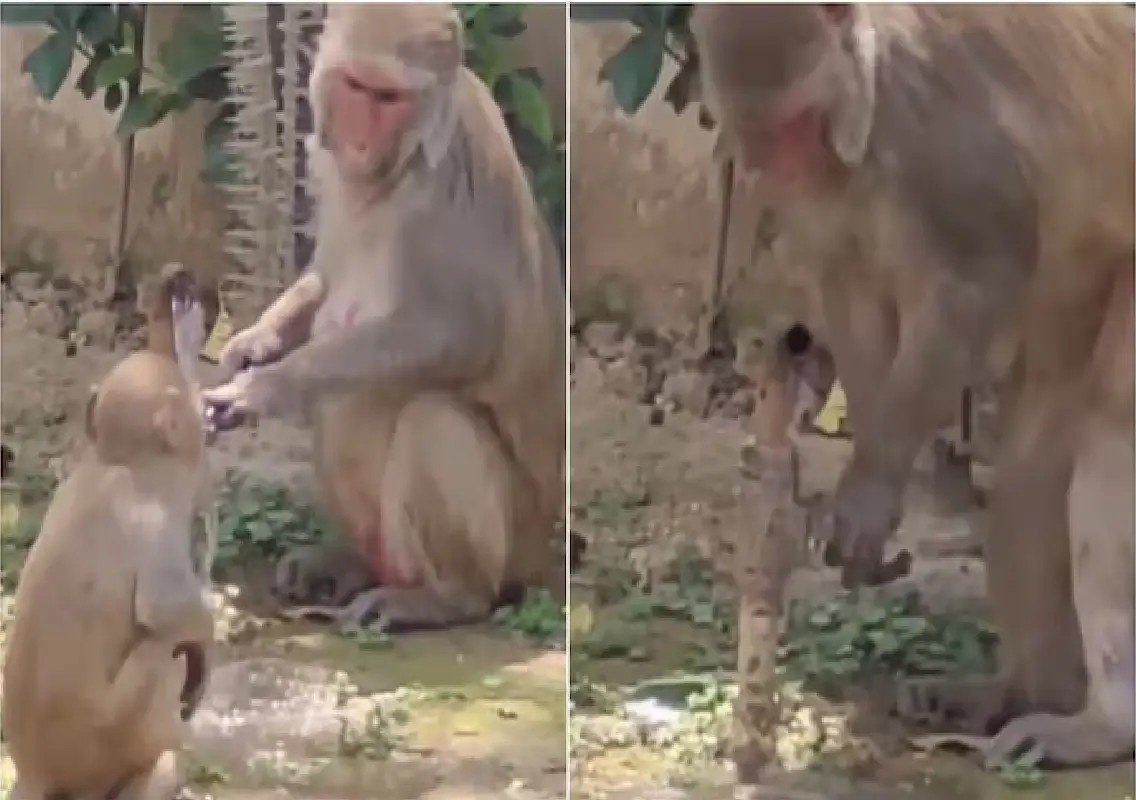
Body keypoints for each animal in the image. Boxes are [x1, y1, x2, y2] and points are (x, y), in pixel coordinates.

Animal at [2, 264, 216, 799]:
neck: (117, 460)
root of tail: (37, 773)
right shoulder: (155, 514)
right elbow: (165, 609)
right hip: (114, 734)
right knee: (165, 650)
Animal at [201, 4, 566, 631]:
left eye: (389, 97)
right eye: (355, 86)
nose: (362, 138)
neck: (397, 169)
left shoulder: (453, 183)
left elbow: (463, 334)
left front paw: (270, 385)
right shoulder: (324, 162)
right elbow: (323, 277)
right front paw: (254, 343)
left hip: (517, 543)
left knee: (433, 419)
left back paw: (445, 599)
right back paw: (345, 563)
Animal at [692, 4, 1134, 765]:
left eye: (794, 125)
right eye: (757, 134)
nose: (770, 168)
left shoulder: (934, 140)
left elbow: (974, 284)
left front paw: (869, 492)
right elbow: (852, 294)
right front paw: (876, 478)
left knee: (1110, 434)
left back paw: (1103, 724)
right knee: (1033, 478)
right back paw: (1025, 695)